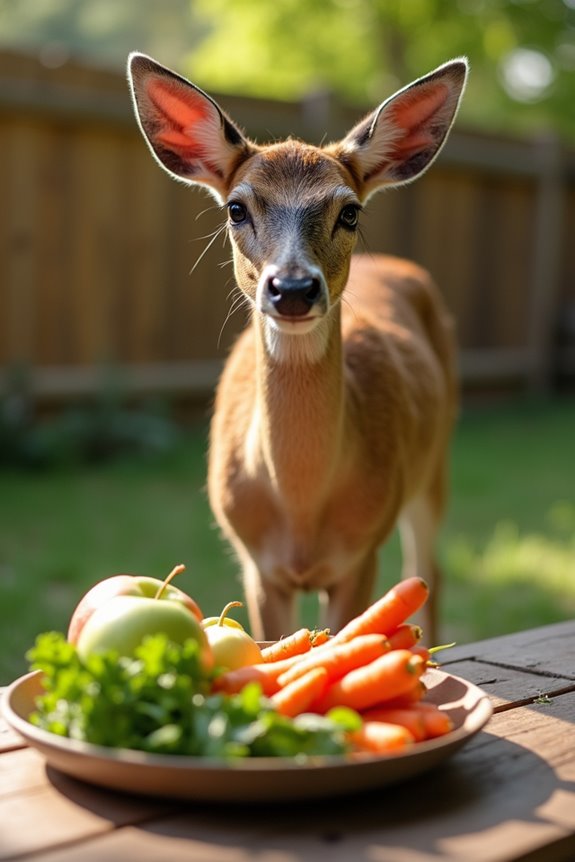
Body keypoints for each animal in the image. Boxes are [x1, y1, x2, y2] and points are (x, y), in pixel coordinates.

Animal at [128, 53, 468, 646]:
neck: (302, 513)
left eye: (350, 211)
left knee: (428, 569)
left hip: (436, 459)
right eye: (236, 208)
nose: (292, 288)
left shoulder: (361, 554)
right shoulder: (257, 566)